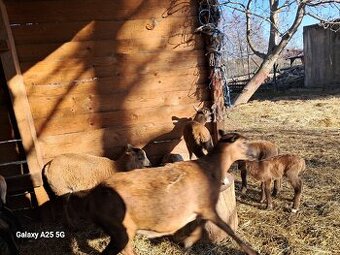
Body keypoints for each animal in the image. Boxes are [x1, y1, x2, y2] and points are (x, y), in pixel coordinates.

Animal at [65, 131, 258, 255]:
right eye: (244, 142)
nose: (258, 154)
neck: (211, 169)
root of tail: (91, 198)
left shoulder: (200, 209)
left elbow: (200, 225)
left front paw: (187, 242)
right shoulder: (208, 206)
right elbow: (228, 229)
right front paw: (252, 251)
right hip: (121, 229)